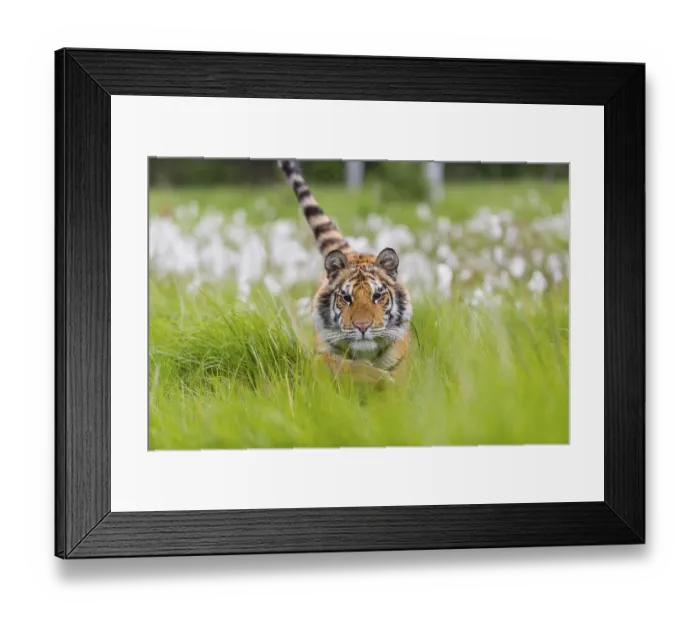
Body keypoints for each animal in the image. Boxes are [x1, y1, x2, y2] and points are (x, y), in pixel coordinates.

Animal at [278, 159, 413, 384]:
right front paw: (379, 379)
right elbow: (351, 368)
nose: (363, 327)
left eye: (377, 296)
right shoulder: (322, 357)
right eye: (346, 298)